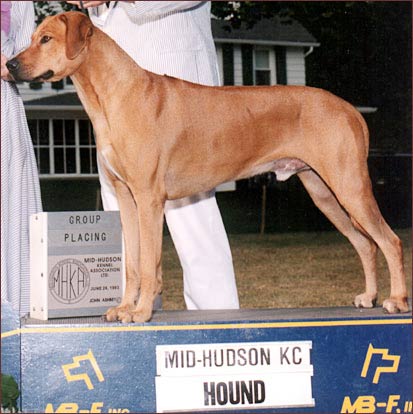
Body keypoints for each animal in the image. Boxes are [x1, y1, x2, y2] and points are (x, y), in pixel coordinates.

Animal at [8, 11, 408, 322]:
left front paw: (141, 311)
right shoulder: (125, 198)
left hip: (349, 186)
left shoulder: (149, 198)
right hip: (324, 193)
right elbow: (133, 263)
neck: (115, 95)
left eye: (46, 39)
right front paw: (124, 308)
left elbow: (148, 260)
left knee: (389, 240)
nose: (9, 64)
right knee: (365, 244)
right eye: (31, 38)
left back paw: (397, 300)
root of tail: (350, 108)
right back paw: (369, 296)